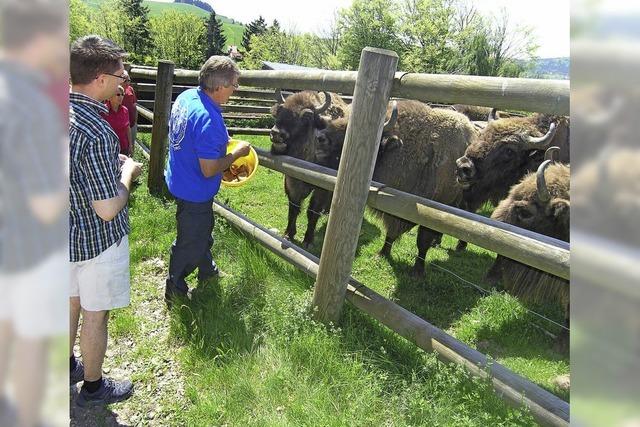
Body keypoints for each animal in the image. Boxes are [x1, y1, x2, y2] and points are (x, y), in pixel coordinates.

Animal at [318, 98, 478, 276]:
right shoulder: (394, 210)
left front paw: (417, 271)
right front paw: (382, 253)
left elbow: (422, 241)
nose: (321, 137)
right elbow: (391, 234)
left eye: (349, 128)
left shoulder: (431, 211)